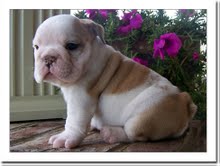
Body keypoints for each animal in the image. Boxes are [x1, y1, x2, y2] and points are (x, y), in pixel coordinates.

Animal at [33, 14, 198, 148]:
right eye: (36, 47)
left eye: (71, 46)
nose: (48, 58)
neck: (91, 56)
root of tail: (185, 102)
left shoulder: (80, 98)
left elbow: (73, 120)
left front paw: (66, 137)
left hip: (145, 115)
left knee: (133, 134)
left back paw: (112, 133)